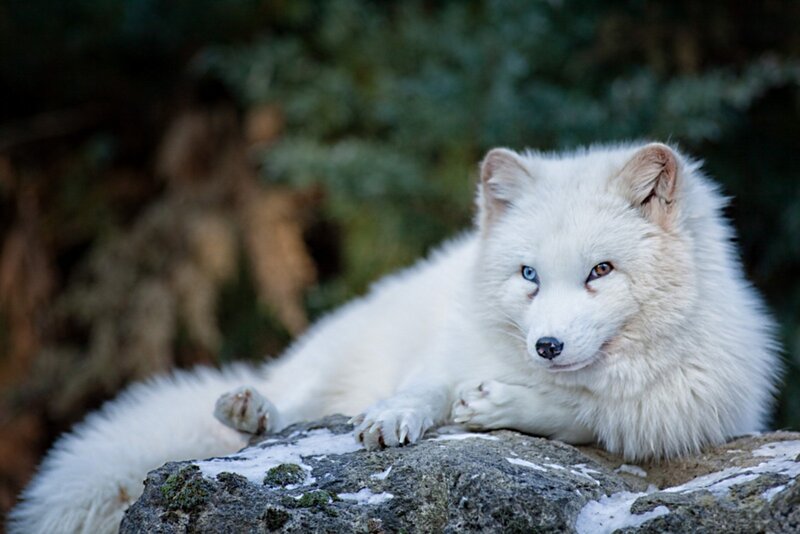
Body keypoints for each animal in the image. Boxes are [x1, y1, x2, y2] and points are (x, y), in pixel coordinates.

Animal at [9, 142, 781, 533]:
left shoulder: (687, 409)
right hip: (335, 350)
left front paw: (503, 403)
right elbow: (423, 386)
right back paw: (254, 410)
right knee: (294, 399)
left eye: (601, 271)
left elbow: (590, 409)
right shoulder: (445, 351)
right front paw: (396, 417)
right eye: (528, 274)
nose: (546, 348)